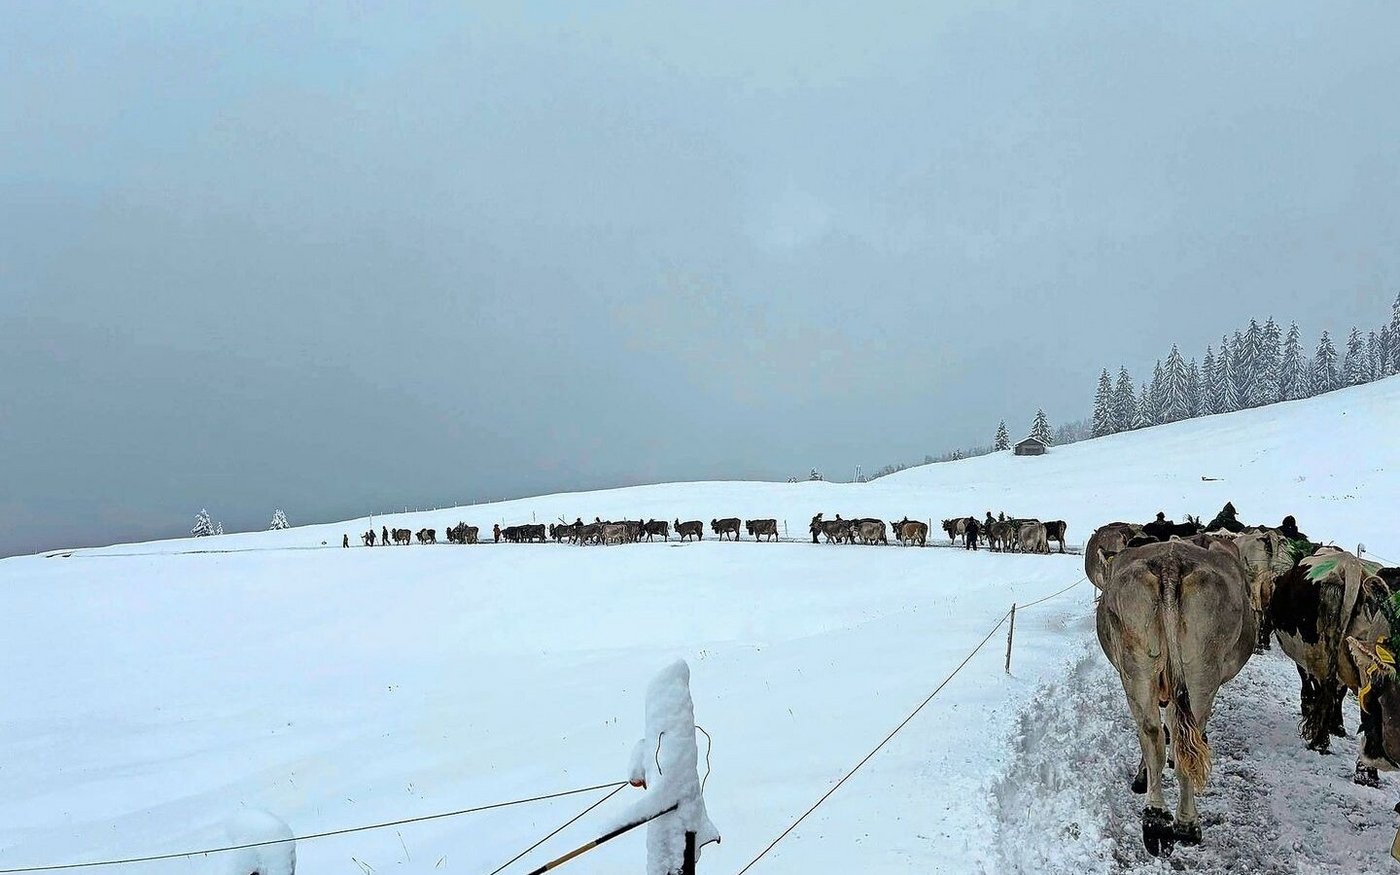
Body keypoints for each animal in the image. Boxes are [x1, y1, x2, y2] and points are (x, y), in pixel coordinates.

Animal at [1097, 539, 1256, 855]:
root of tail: (1171, 564)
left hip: (1136, 668)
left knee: (1152, 733)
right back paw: (1186, 824)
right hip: (1201, 671)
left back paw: (1155, 818)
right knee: (1185, 743)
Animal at [1269, 547, 1394, 784]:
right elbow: (1340, 692)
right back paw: (1366, 770)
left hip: (1318, 650)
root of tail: (1349, 566)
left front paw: (1308, 706)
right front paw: (1337, 725)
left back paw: (1319, 739)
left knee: (1324, 687)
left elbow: (1309, 682)